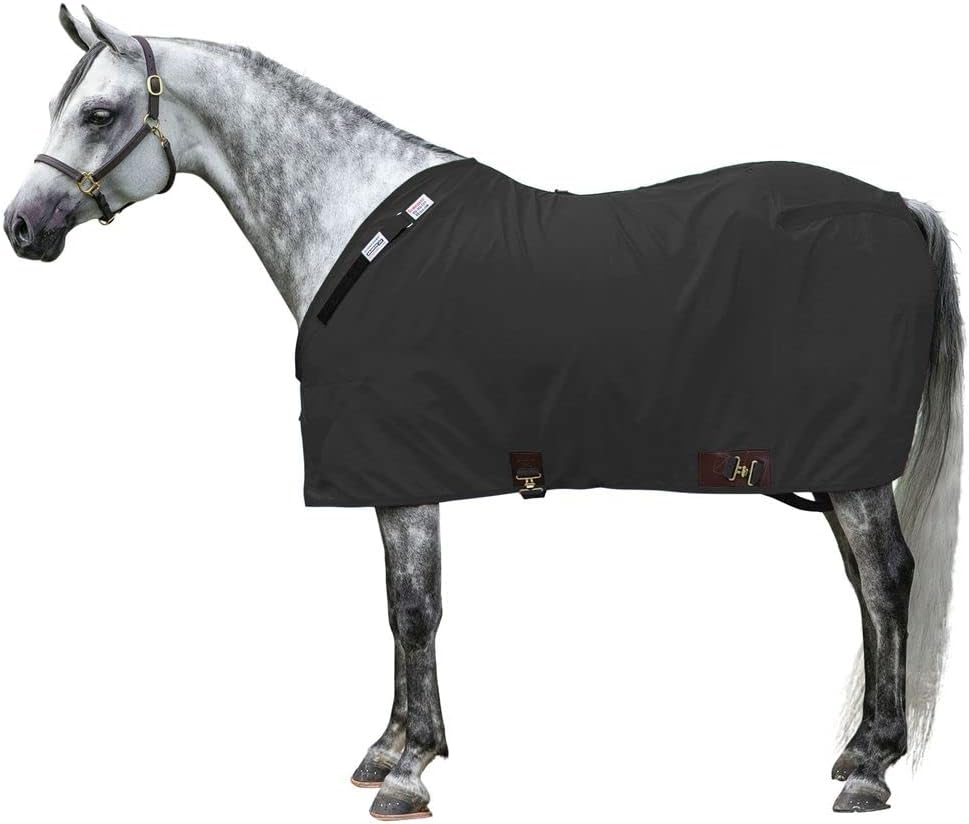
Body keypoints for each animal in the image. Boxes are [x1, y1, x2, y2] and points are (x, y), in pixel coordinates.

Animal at [4, 7, 962, 819]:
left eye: (96, 114)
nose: (22, 226)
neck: (360, 236)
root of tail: (897, 205)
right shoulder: (391, 474)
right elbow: (396, 607)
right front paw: (389, 747)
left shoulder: (404, 472)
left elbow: (414, 609)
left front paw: (409, 768)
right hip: (829, 468)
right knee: (863, 586)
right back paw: (856, 751)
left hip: (848, 468)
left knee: (886, 579)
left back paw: (872, 768)